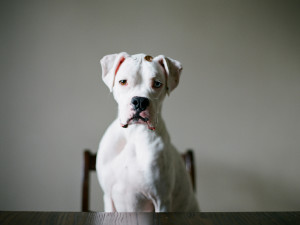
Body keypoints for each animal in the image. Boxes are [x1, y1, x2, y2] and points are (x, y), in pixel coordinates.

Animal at [96, 51, 199, 212]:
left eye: (157, 83)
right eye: (123, 81)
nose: (139, 101)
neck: (133, 134)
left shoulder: (161, 201)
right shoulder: (108, 198)